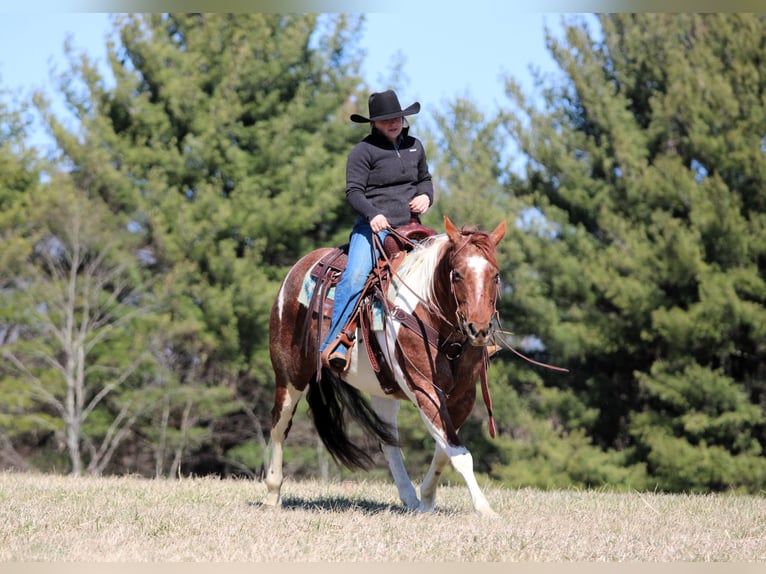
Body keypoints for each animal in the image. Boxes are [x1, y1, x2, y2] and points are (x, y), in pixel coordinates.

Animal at [263, 215, 506, 516]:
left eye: (496, 275)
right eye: (457, 274)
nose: (479, 329)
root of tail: (298, 270)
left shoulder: (463, 397)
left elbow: (444, 449)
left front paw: (426, 499)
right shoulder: (423, 388)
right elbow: (459, 454)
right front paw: (484, 508)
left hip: (384, 390)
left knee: (388, 442)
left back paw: (410, 498)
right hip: (290, 375)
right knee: (278, 426)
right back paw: (272, 494)